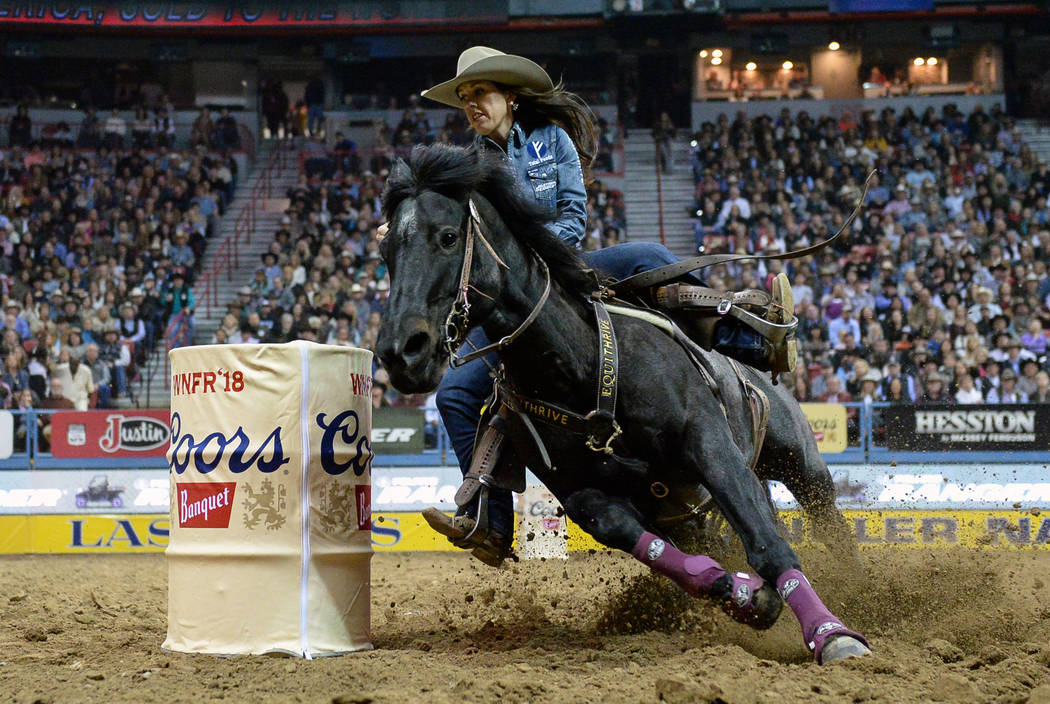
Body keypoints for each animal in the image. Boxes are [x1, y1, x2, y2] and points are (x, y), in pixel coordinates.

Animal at [377, 145, 869, 668]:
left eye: (448, 237)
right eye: (386, 254)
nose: (399, 351)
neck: (582, 363)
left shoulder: (709, 444)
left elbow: (767, 545)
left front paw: (833, 634)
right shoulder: (582, 493)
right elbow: (640, 538)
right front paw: (739, 593)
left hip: (799, 462)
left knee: (828, 522)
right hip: (696, 511)